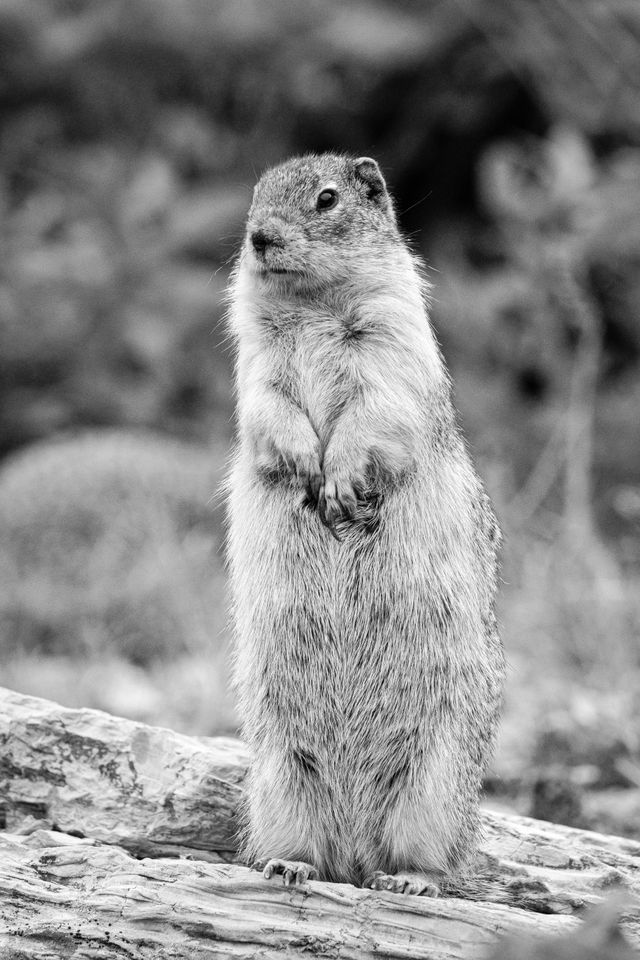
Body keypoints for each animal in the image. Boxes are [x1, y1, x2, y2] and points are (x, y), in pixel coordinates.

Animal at [225, 154, 504, 896]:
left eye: (328, 199)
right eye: (254, 195)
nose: (259, 237)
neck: (313, 304)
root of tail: (355, 854)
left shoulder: (392, 332)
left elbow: (377, 401)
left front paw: (341, 482)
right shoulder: (257, 356)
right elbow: (266, 402)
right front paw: (303, 466)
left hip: (437, 775)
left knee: (430, 853)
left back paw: (412, 879)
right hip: (278, 771)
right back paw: (289, 865)